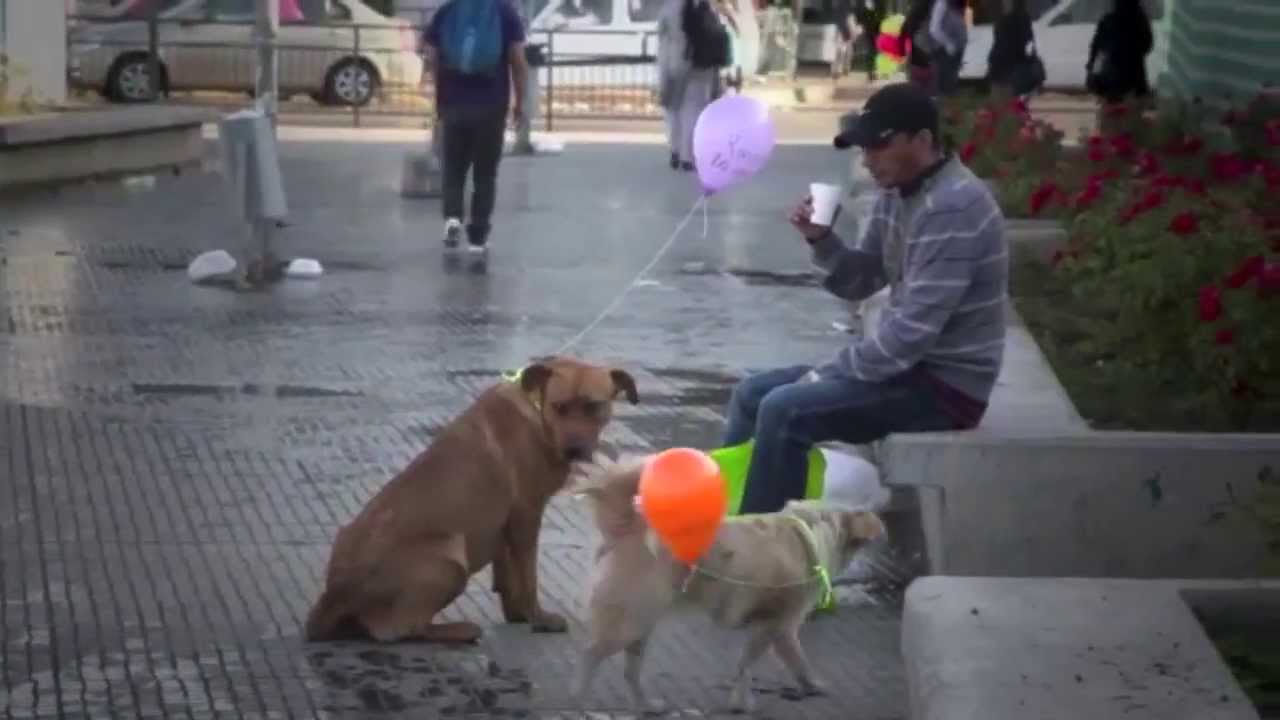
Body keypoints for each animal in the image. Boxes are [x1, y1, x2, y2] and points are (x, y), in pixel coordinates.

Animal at [300, 356, 640, 640]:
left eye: (594, 407)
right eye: (559, 407)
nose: (574, 450)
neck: (536, 408)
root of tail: (336, 592)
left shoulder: (505, 522)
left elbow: (508, 573)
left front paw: (516, 613)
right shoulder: (526, 514)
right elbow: (528, 576)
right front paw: (538, 618)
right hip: (449, 560)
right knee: (400, 629)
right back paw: (459, 630)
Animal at [576, 453, 885, 712]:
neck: (814, 527)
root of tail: (630, 528)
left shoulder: (773, 629)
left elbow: (780, 663)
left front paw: (805, 685)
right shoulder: (777, 626)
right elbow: (758, 665)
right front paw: (745, 700)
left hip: (641, 623)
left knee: (630, 671)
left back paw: (646, 706)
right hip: (629, 621)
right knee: (590, 655)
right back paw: (578, 697)